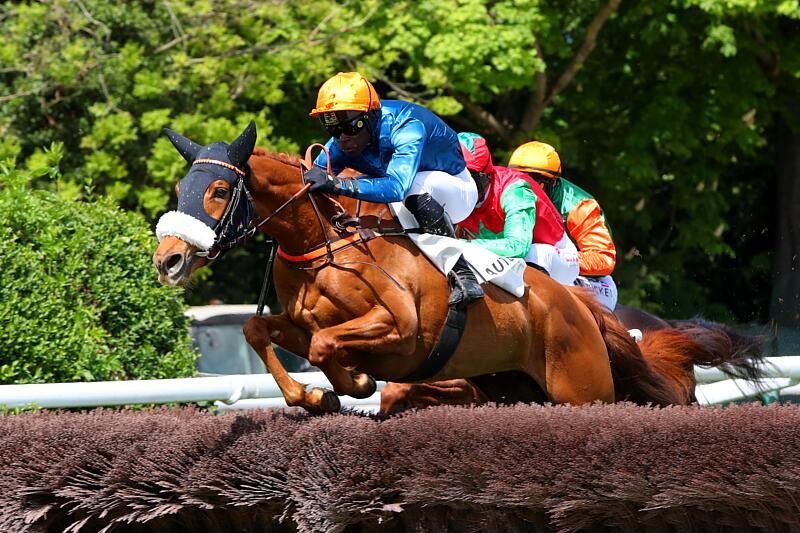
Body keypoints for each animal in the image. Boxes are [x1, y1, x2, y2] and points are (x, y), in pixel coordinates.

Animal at [152, 122, 762, 414]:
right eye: (180, 187)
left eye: (218, 189)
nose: (169, 260)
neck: (325, 244)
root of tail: (580, 308)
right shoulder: (299, 322)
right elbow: (262, 330)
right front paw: (317, 395)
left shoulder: (401, 327)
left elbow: (329, 347)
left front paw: (353, 382)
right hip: (514, 387)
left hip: (580, 385)